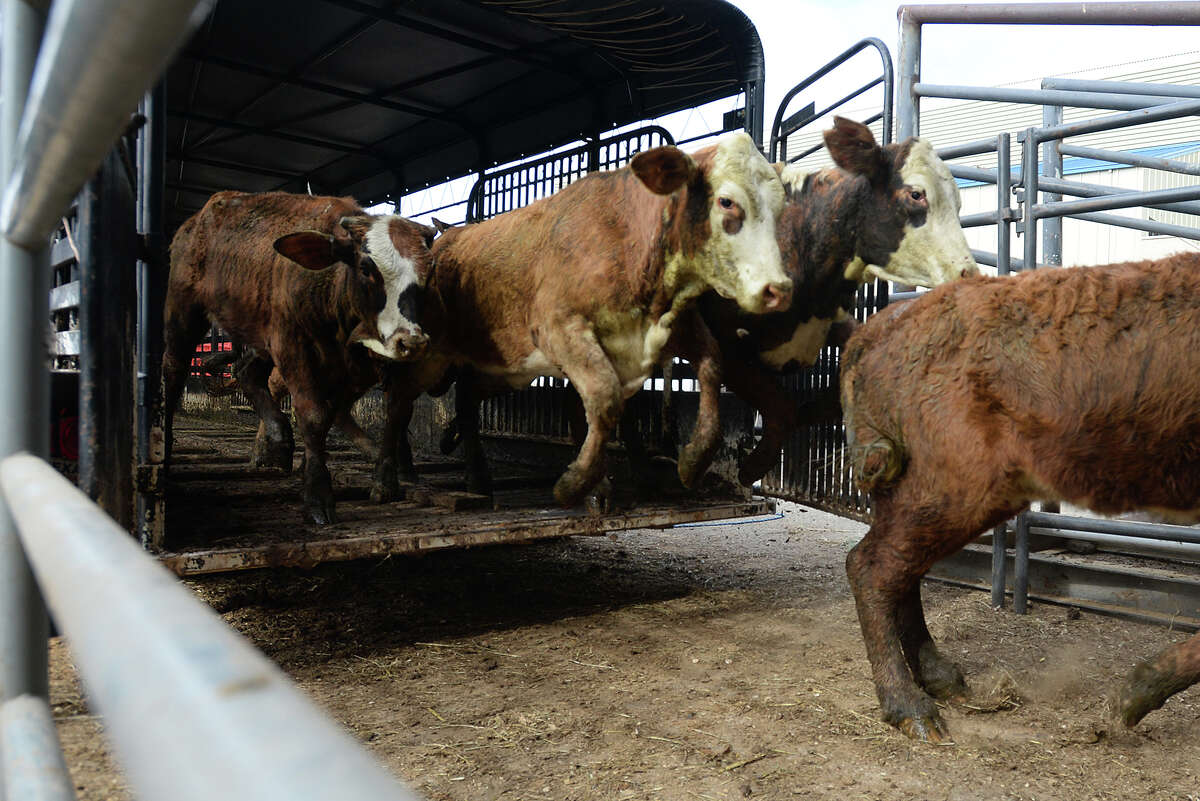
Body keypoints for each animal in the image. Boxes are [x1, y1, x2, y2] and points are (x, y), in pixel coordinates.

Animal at [162, 191, 435, 525]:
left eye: (427, 271)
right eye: (366, 267)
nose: (411, 341)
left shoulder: (363, 365)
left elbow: (373, 413)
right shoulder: (292, 345)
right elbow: (315, 415)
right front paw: (318, 496)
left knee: (247, 373)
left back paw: (278, 438)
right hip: (183, 309)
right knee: (174, 371)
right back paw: (166, 449)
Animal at [372, 132, 793, 508]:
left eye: (780, 208)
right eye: (727, 201)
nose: (778, 288)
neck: (627, 238)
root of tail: (443, 243)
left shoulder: (673, 328)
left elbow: (710, 367)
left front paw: (693, 461)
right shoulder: (560, 330)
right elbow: (604, 401)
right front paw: (577, 484)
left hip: (505, 365)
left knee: (466, 399)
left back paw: (477, 478)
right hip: (428, 355)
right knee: (398, 404)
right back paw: (388, 481)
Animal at [837, 252, 1200, 742]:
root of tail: (879, 327)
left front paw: (1134, 696)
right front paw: (1131, 699)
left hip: (918, 495)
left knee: (900, 573)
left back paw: (940, 680)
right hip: (959, 490)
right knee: (872, 567)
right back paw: (909, 707)